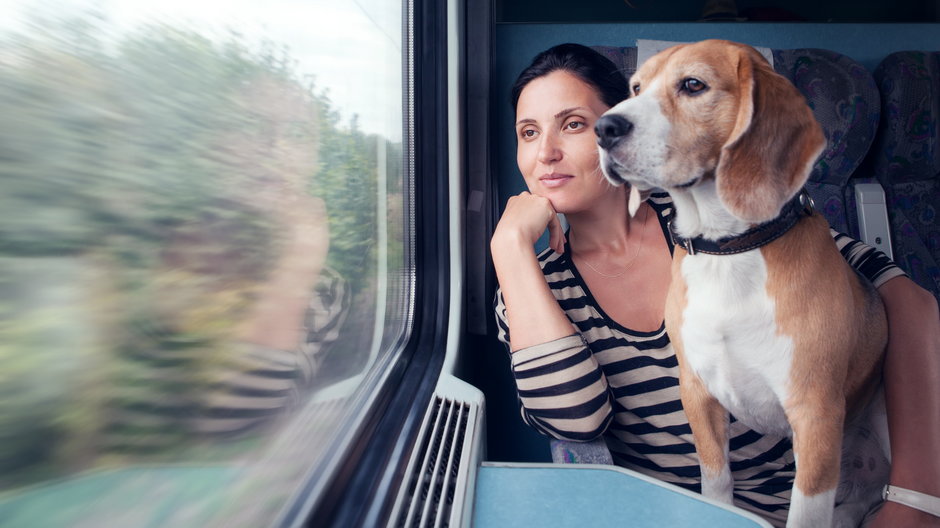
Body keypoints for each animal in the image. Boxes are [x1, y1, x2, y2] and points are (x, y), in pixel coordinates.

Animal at [600, 41, 884, 528]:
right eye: (635, 87)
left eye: (693, 84)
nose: (603, 128)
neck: (727, 250)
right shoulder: (697, 392)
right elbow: (715, 484)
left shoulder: (815, 417)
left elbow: (806, 513)